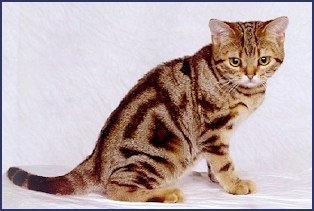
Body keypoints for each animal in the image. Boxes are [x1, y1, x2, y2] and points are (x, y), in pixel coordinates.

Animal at [7, 16, 288, 203]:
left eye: (263, 60)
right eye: (235, 61)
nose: (250, 74)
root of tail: (96, 159)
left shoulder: (215, 137)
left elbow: (214, 163)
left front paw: (214, 179)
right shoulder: (214, 130)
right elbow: (223, 163)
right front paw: (235, 184)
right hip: (163, 155)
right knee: (115, 188)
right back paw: (167, 193)